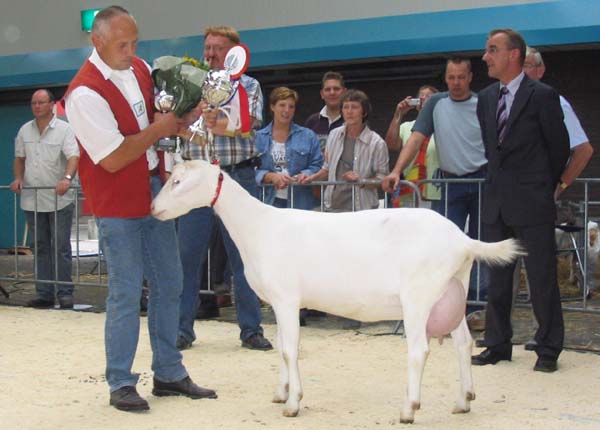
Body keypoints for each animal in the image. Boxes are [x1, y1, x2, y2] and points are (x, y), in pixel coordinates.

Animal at [151, 160, 523, 424]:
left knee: (419, 351)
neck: (256, 226)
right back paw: (463, 401)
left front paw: (293, 403)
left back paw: (409, 408)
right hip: (451, 292)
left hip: (419, 297)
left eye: (178, 182)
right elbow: (282, 349)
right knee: (463, 344)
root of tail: (463, 240)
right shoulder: (279, 303)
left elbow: (290, 351)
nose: (154, 209)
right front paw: (281, 392)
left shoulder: (287, 298)